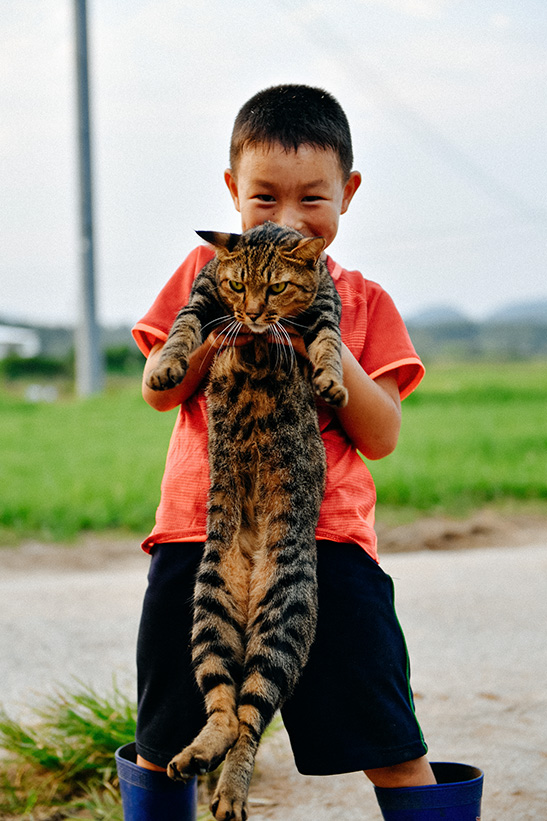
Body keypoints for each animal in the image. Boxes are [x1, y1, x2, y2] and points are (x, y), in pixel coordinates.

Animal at [148, 221, 348, 816]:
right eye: (238, 285)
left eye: (278, 287)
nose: (256, 314)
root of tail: (253, 567)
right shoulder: (202, 296)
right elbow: (182, 329)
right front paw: (168, 366)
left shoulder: (324, 308)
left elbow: (328, 344)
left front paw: (331, 380)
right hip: (208, 613)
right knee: (224, 706)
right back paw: (197, 756)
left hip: (281, 625)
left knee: (251, 715)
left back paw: (230, 790)